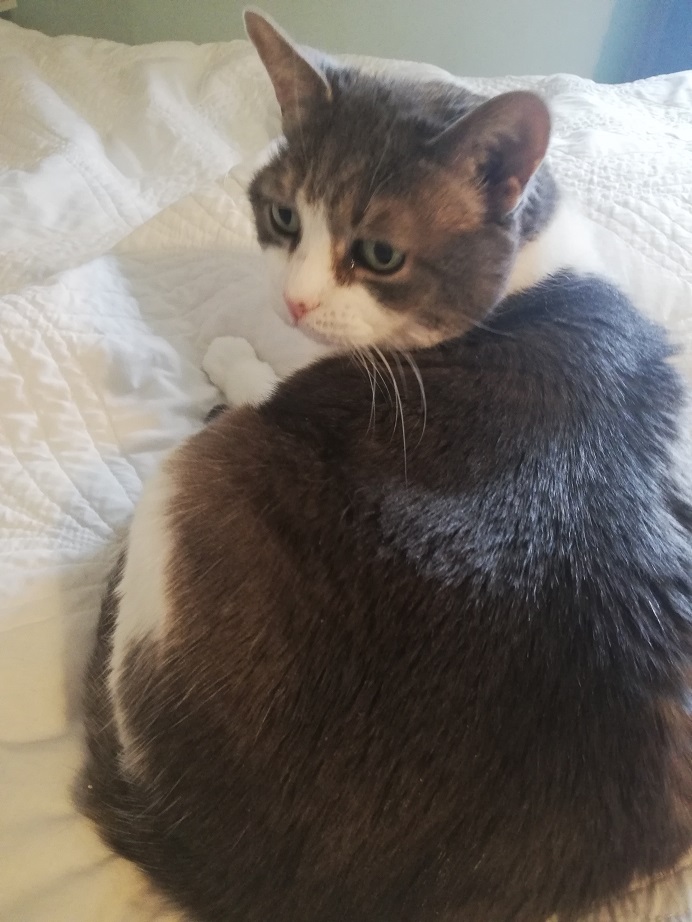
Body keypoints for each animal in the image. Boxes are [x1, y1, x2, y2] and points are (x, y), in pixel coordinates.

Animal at [75, 9, 692, 920]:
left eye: (379, 254)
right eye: (284, 217)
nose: (293, 301)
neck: (530, 275)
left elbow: (264, 376)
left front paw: (235, 353)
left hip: (200, 478)